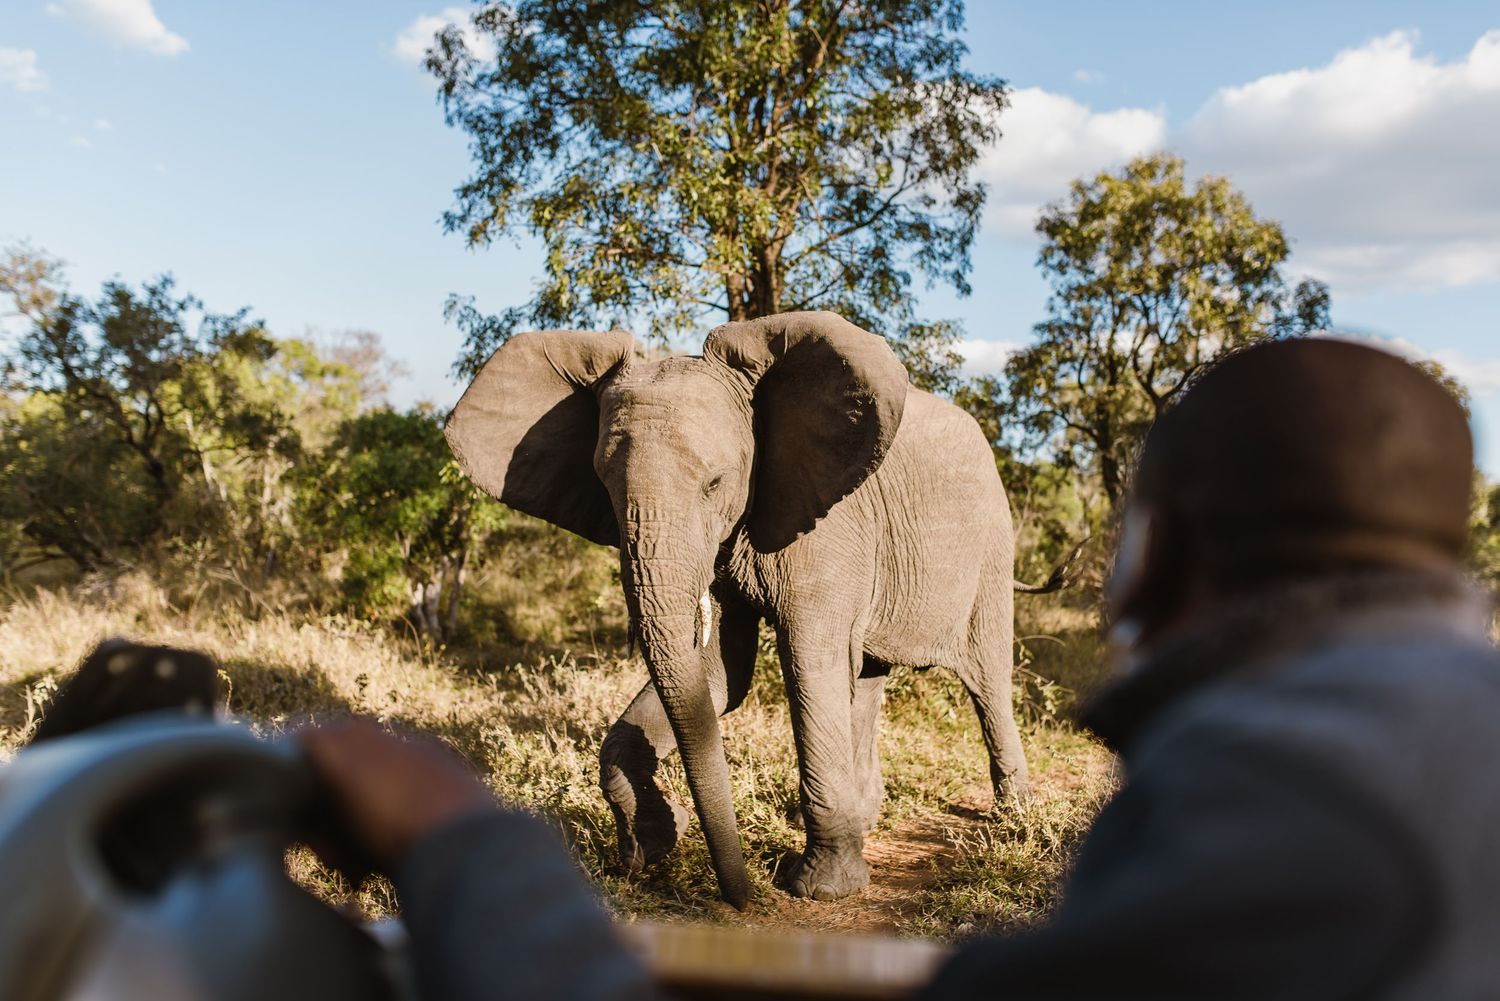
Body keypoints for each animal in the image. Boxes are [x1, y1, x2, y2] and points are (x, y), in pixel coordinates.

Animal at [445, 310, 1035, 909]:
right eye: (605, 487)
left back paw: (1015, 816)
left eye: (715, 483)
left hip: (991, 546)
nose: (743, 897)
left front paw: (821, 888)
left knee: (987, 679)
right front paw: (651, 844)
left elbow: (806, 665)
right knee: (868, 677)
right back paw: (869, 821)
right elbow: (722, 672)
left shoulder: (830, 523)